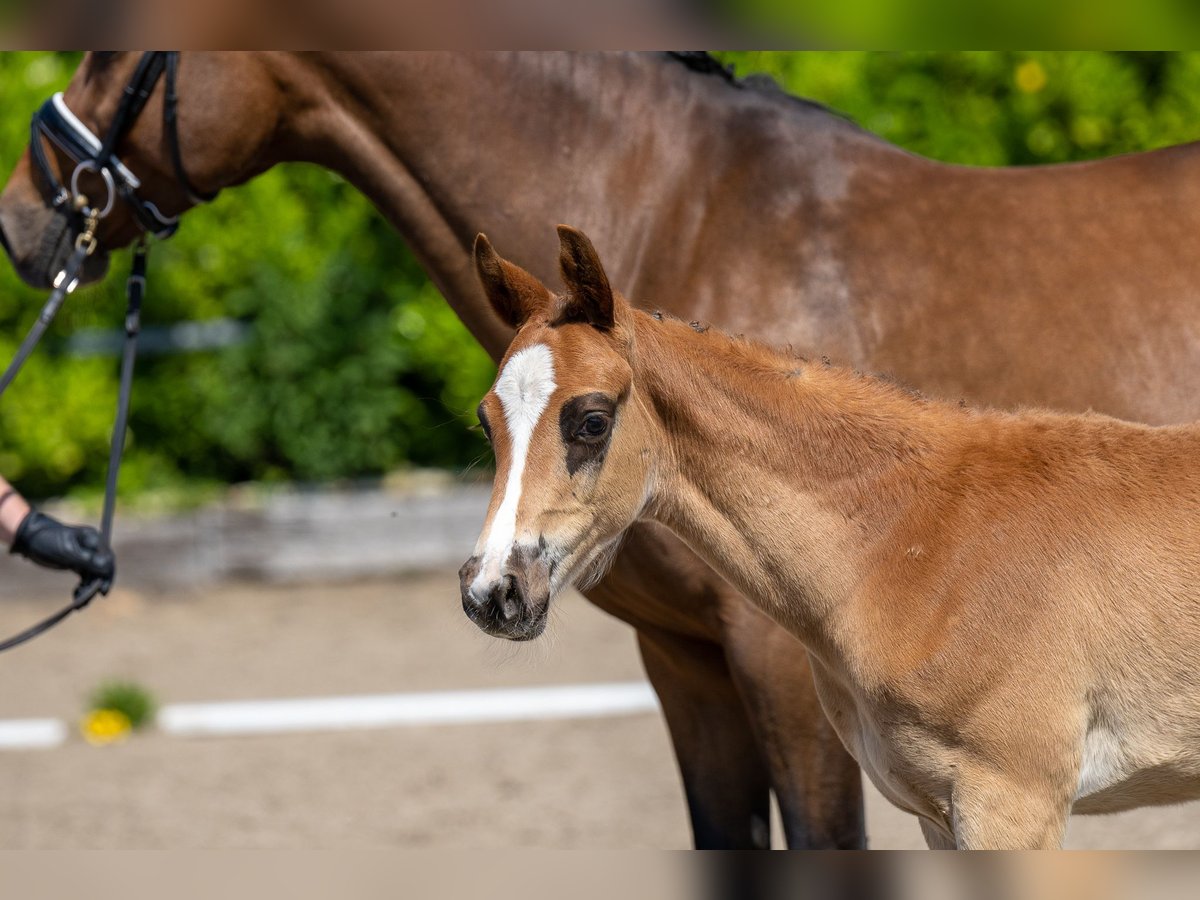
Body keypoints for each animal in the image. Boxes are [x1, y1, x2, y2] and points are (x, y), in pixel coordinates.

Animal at [460, 225, 1200, 854]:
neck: (911, 543)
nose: (492, 592)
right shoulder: (938, 812)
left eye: (591, 420)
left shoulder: (1014, 802)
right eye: (486, 420)